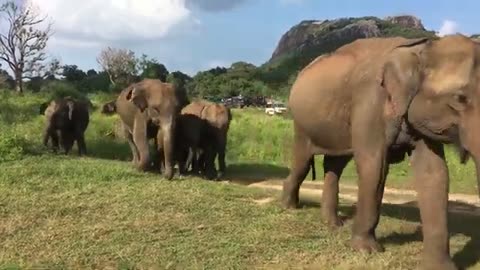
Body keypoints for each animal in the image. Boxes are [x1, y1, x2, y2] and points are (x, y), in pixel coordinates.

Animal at [284, 34, 480, 270]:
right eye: (460, 98)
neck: (419, 48)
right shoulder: (370, 102)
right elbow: (374, 165)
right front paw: (366, 250)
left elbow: (434, 172)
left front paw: (441, 267)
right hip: (302, 124)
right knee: (303, 162)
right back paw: (289, 207)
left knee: (335, 164)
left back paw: (333, 224)